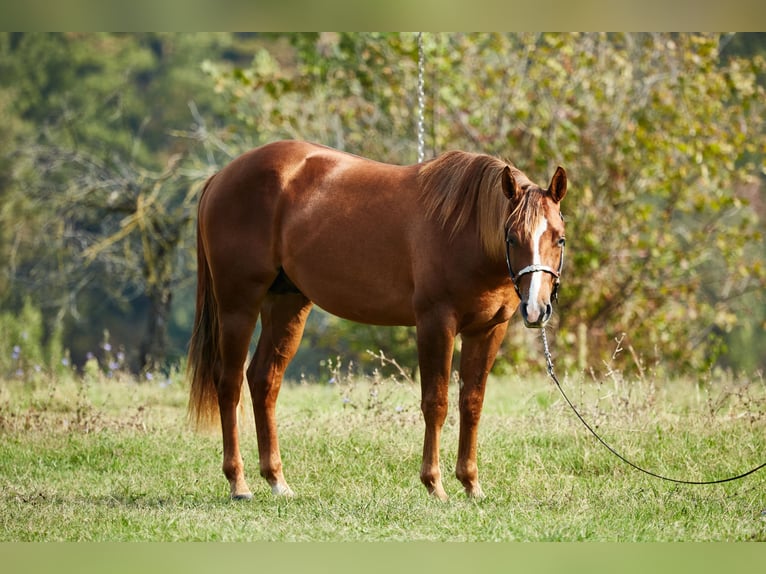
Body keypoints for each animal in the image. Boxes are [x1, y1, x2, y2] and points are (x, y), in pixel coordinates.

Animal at [188, 140, 568, 500]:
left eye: (559, 238)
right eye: (512, 237)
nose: (537, 309)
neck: (465, 230)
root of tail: (221, 177)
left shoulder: (488, 330)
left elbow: (471, 404)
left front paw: (471, 484)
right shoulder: (436, 323)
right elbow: (436, 403)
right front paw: (434, 484)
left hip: (287, 304)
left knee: (263, 380)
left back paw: (277, 481)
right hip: (238, 305)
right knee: (229, 384)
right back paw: (238, 483)